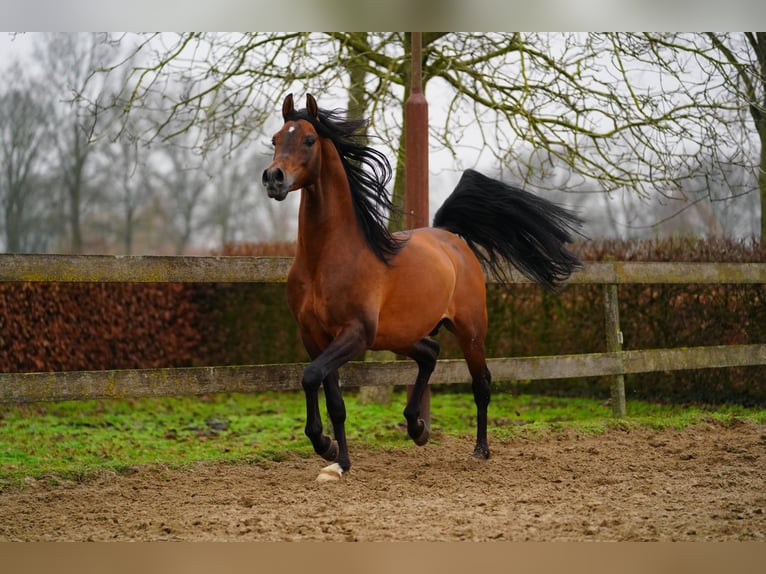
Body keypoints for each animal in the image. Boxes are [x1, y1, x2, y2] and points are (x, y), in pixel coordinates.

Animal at [262, 94, 584, 482]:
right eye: (276, 139)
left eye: (309, 140)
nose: (274, 178)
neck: (325, 258)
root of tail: (449, 236)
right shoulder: (314, 336)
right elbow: (325, 391)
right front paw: (333, 454)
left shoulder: (355, 333)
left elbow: (313, 378)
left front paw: (333, 455)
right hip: (399, 334)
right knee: (430, 352)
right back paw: (417, 427)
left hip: (469, 330)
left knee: (481, 383)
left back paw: (479, 450)